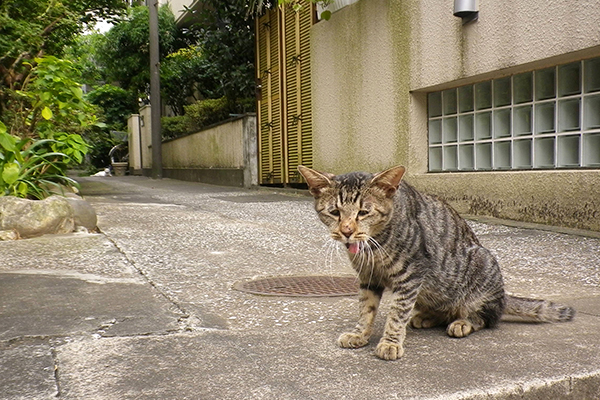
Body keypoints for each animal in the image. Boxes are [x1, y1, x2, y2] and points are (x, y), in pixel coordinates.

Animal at [298, 164, 576, 360]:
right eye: (334, 212)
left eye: (364, 212)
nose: (346, 231)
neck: (375, 245)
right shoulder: (368, 277)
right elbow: (366, 309)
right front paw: (359, 334)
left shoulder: (411, 273)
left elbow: (397, 312)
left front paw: (390, 342)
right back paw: (427, 316)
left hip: (482, 264)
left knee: (486, 317)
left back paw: (462, 322)